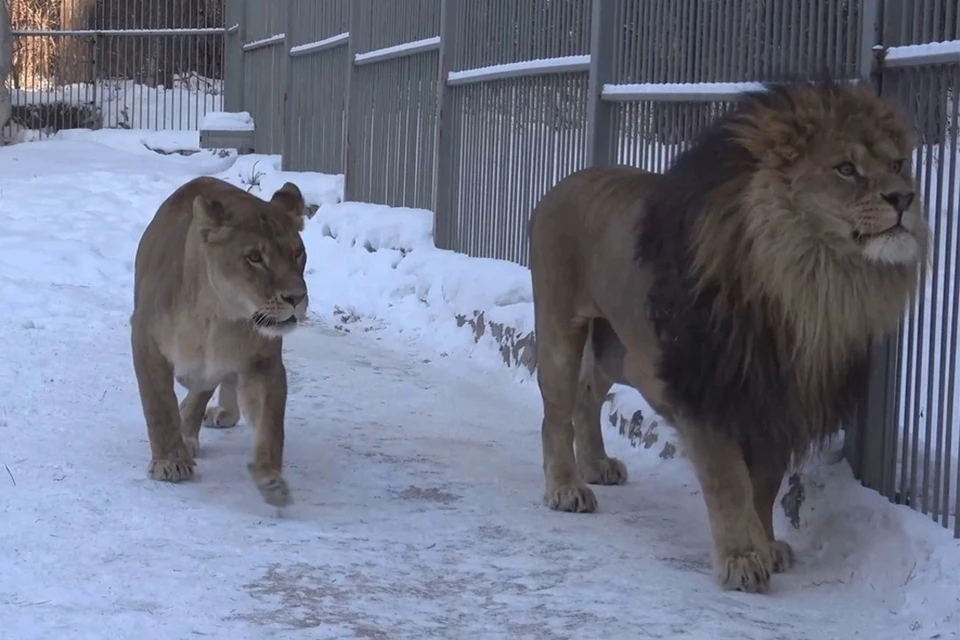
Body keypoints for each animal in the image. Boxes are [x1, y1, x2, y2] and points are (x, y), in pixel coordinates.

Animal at [129, 175, 310, 504]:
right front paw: (170, 462)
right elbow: (158, 405)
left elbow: (271, 424)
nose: (296, 297)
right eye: (254, 257)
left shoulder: (264, 362)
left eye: (297, 253)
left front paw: (271, 480)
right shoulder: (145, 339)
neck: (219, 315)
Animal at [532, 81, 928, 596]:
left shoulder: (779, 402)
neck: (810, 285)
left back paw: (597, 465)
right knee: (556, 413)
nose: (907, 197)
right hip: (564, 328)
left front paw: (766, 544)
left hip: (622, 351)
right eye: (846, 168)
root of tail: (562, 184)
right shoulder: (705, 391)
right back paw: (566, 486)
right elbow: (729, 480)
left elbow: (763, 485)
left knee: (586, 393)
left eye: (897, 164)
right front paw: (742, 557)